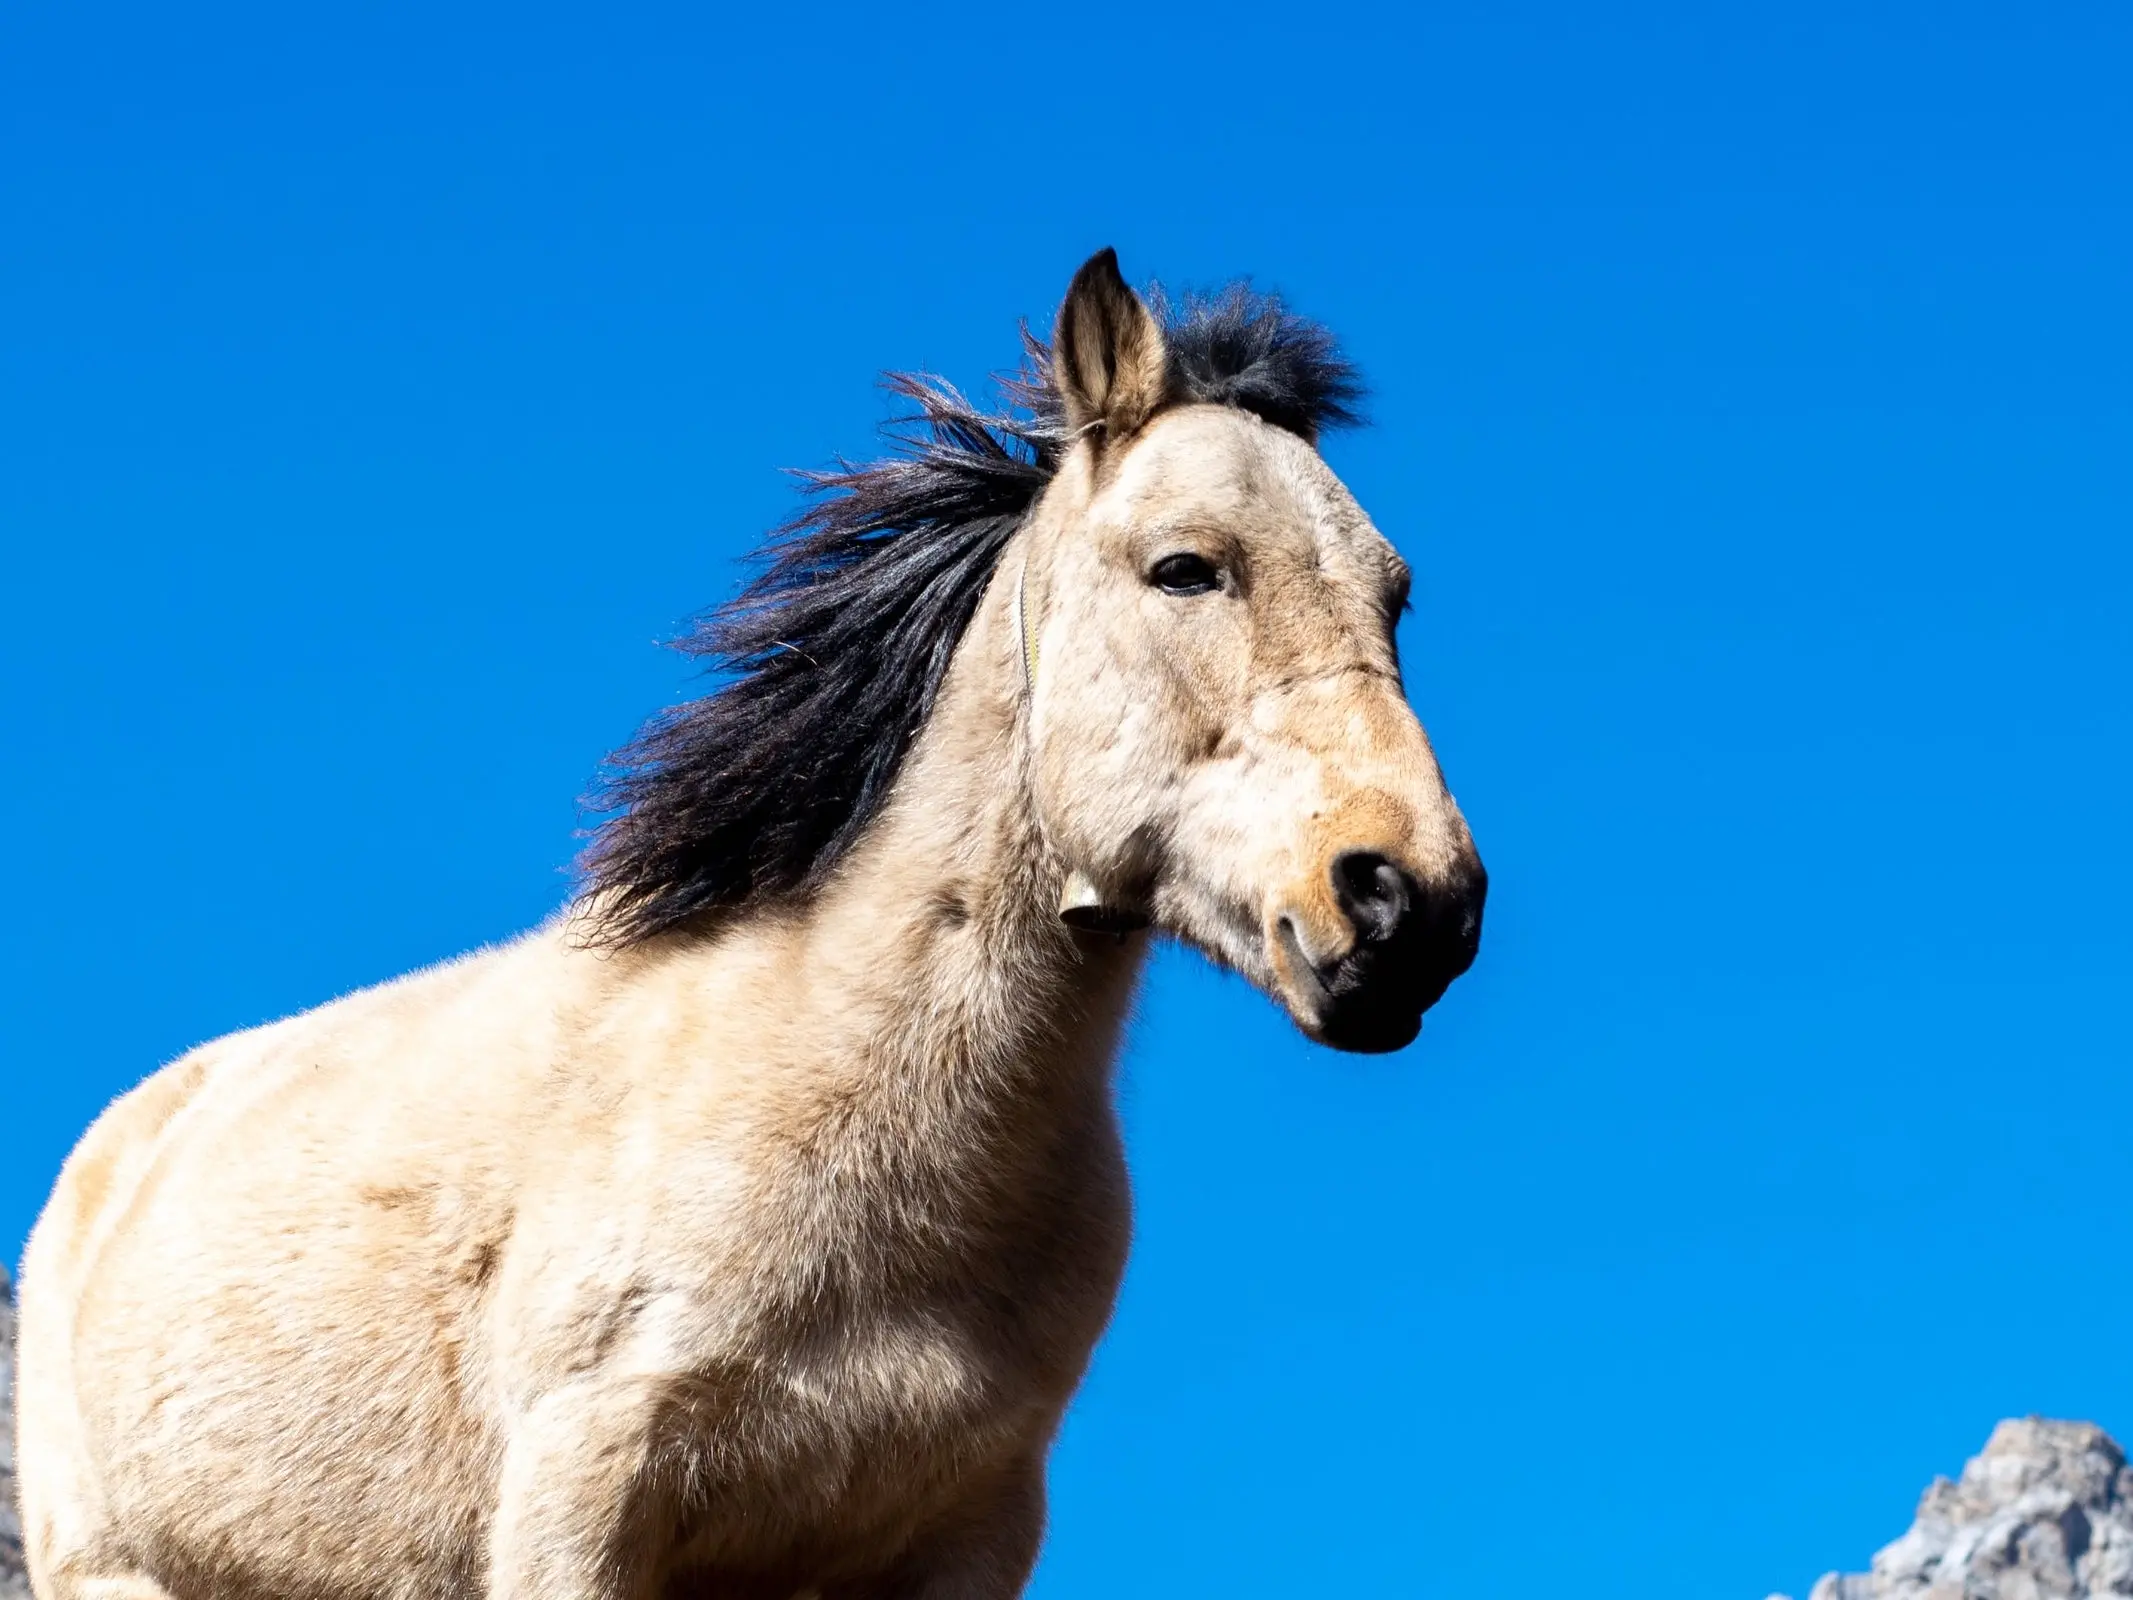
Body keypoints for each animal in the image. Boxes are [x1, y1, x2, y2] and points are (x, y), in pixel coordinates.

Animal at [16, 250, 1484, 1600]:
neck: (840, 1090)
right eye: (1185, 569)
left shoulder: (967, 1533)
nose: (1410, 901)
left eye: (1394, 594)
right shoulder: (583, 1495)